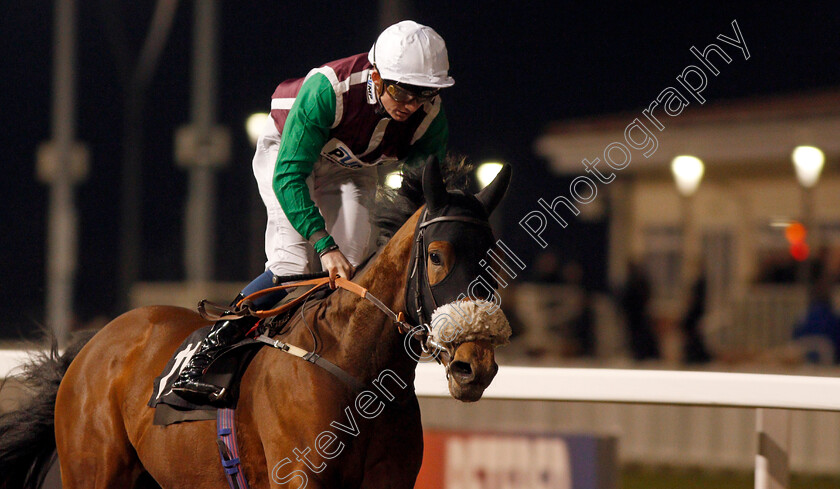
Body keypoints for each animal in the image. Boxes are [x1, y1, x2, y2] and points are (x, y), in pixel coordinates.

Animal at [0, 157, 512, 488]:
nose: (475, 366)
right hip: (94, 470)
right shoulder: (299, 476)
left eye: (494, 260)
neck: (357, 370)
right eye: (437, 256)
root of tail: (93, 344)